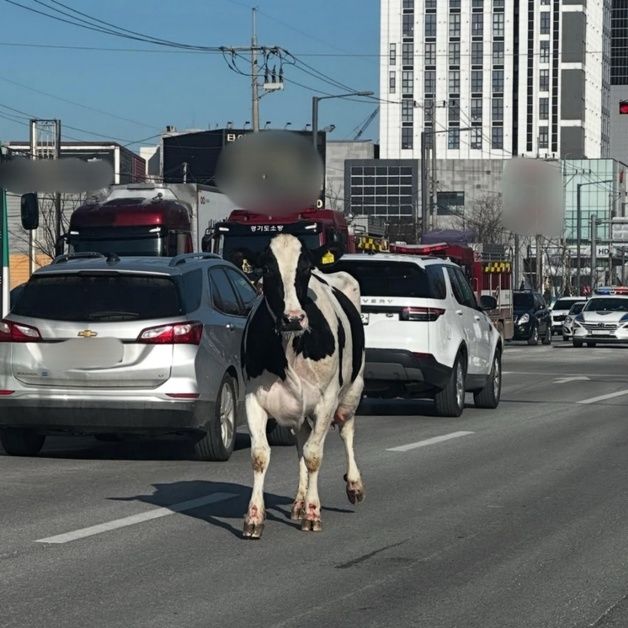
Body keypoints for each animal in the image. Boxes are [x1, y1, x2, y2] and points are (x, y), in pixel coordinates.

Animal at [242, 233, 368, 536]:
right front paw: (254, 516)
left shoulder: (326, 401)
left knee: (346, 431)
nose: (293, 318)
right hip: (297, 410)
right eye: (267, 269)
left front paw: (313, 512)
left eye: (306, 269)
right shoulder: (253, 398)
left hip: (352, 391)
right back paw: (298, 501)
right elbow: (260, 455)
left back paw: (353, 485)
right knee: (301, 441)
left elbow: (313, 455)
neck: (290, 346)